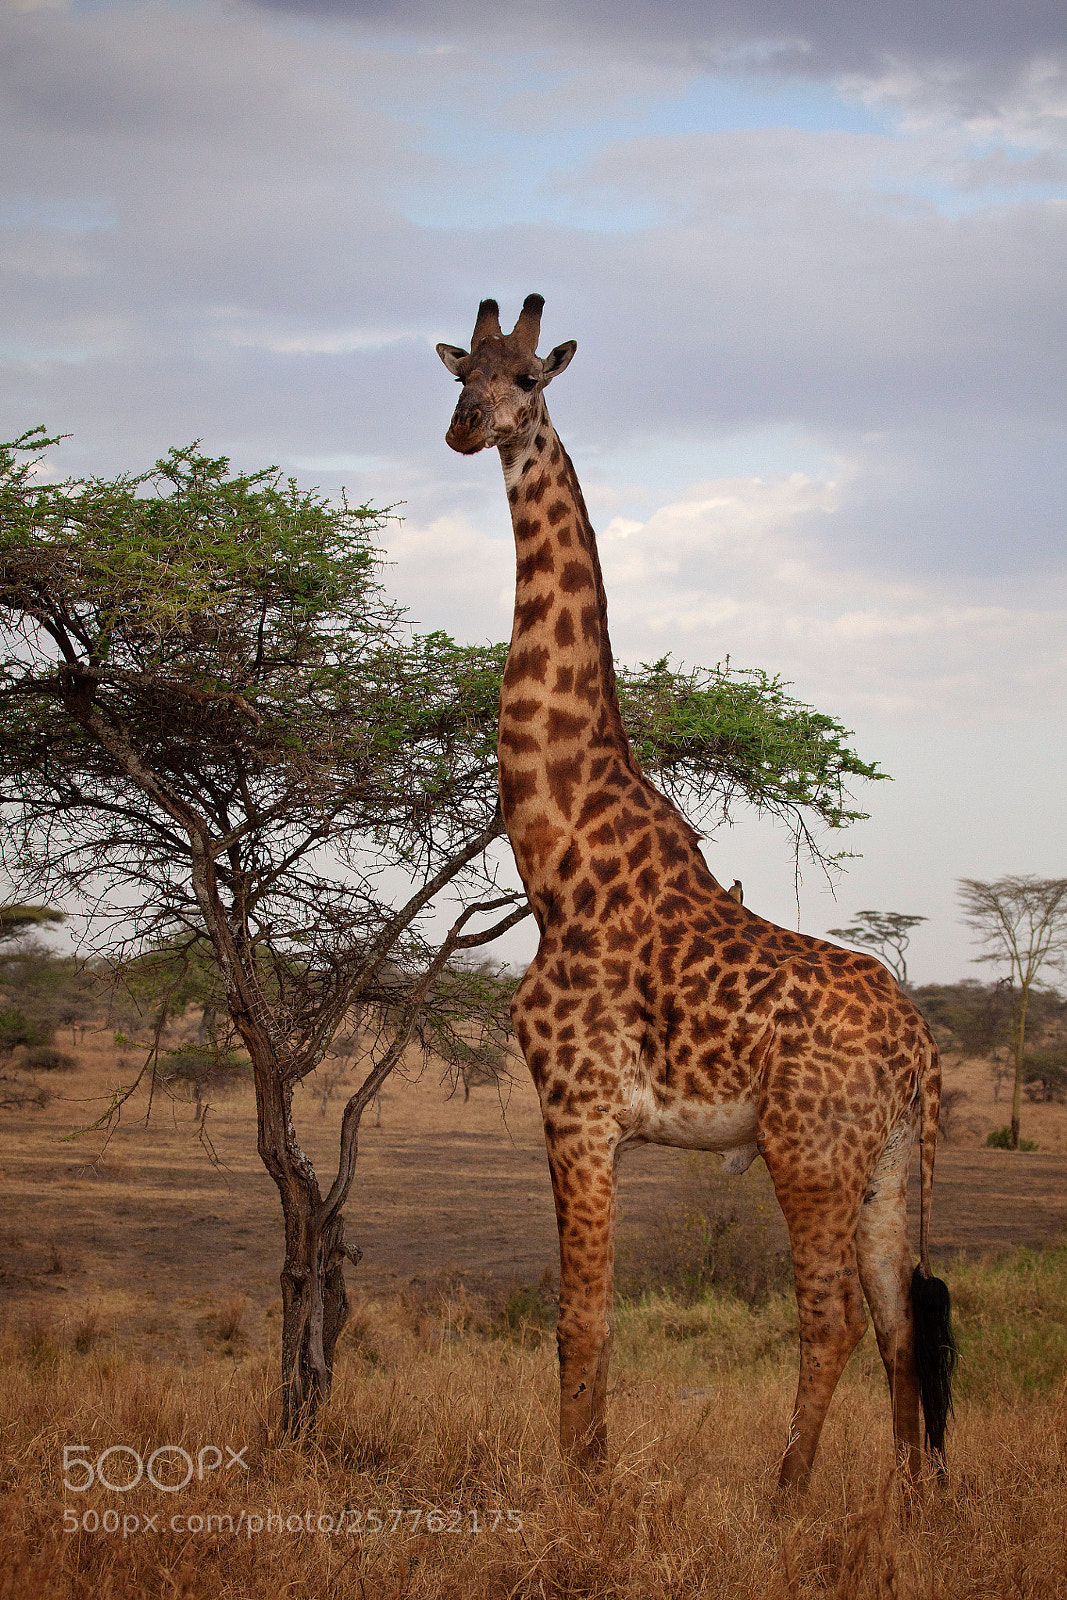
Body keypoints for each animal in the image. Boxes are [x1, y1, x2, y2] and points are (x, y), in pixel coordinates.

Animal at [437, 295, 955, 1491]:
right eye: (456, 371)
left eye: (527, 376)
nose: (466, 427)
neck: (556, 856)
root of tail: (918, 1045)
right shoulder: (591, 1118)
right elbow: (590, 1318)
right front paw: (588, 1471)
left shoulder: (576, 1106)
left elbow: (581, 1318)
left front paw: (581, 1487)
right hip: (885, 1159)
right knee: (898, 1316)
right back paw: (907, 1501)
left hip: (808, 1150)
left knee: (830, 1318)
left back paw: (784, 1495)